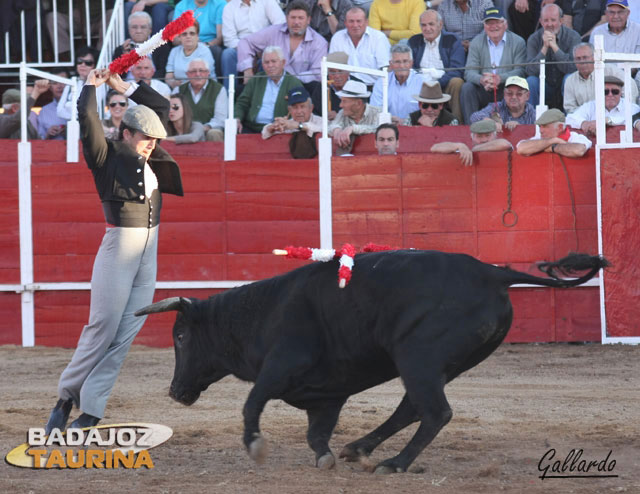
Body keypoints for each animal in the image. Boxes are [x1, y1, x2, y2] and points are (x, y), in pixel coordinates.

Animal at [134, 253, 604, 472]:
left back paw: (394, 463)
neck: (260, 312)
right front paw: (326, 456)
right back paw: (359, 448)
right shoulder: (328, 394)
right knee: (413, 407)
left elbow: (252, 404)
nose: (175, 392)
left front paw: (255, 446)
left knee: (435, 411)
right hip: (438, 365)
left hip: (417, 357)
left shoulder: (280, 366)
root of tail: (492, 272)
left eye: (180, 336)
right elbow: (316, 433)